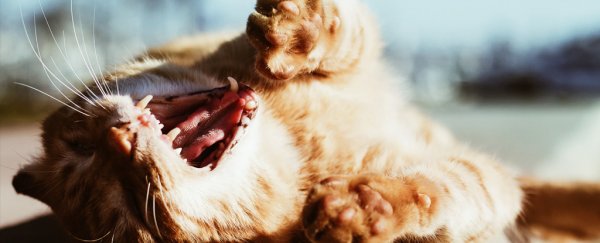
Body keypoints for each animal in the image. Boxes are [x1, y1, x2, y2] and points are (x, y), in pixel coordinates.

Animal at [11, 0, 600, 242]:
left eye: (80, 146)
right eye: (132, 207)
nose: (116, 138)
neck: (292, 137)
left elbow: (344, 30)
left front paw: (294, 32)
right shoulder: (482, 187)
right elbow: (442, 188)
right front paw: (363, 208)